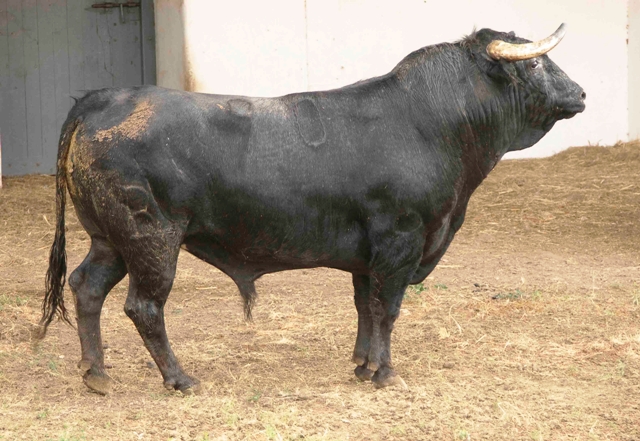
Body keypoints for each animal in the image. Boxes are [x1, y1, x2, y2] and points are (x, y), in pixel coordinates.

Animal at [37, 26, 584, 392]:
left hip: (109, 239)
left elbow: (365, 307)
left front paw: (362, 365)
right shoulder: (400, 241)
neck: (431, 123)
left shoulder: (368, 255)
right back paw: (179, 378)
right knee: (144, 306)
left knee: (87, 287)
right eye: (535, 64)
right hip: (151, 238)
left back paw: (97, 374)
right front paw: (385, 373)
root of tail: (103, 98)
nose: (580, 93)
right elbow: (387, 308)